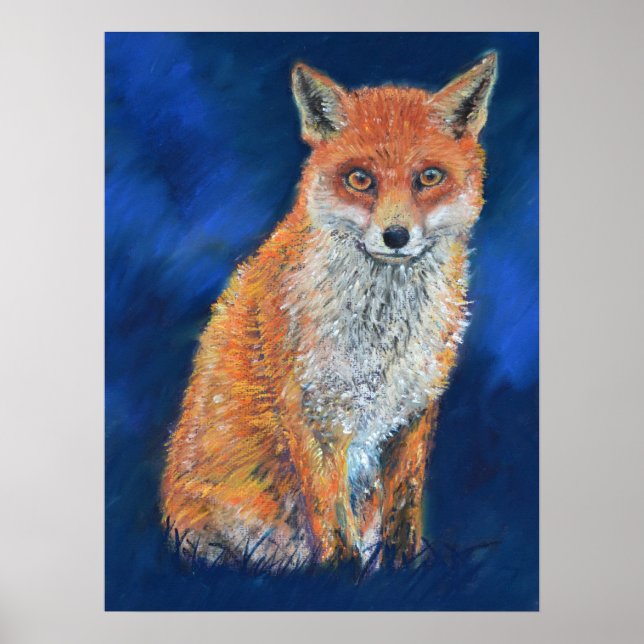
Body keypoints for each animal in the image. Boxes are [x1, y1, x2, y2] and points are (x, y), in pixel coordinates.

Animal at [161, 53, 498, 572]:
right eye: (360, 179)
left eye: (429, 177)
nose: (395, 236)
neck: (384, 337)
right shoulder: (314, 413)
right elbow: (331, 517)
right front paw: (344, 576)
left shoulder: (413, 412)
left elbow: (403, 510)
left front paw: (402, 571)